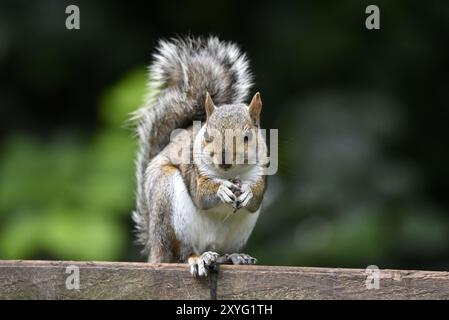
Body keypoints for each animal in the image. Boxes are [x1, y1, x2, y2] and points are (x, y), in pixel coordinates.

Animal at [132, 37, 266, 278]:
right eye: (207, 135)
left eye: (247, 137)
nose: (224, 160)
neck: (231, 174)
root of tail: (155, 247)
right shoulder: (195, 170)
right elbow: (201, 194)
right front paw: (221, 189)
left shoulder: (261, 171)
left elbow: (256, 196)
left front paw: (248, 192)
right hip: (168, 206)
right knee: (181, 253)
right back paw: (198, 258)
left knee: (221, 253)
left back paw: (234, 257)